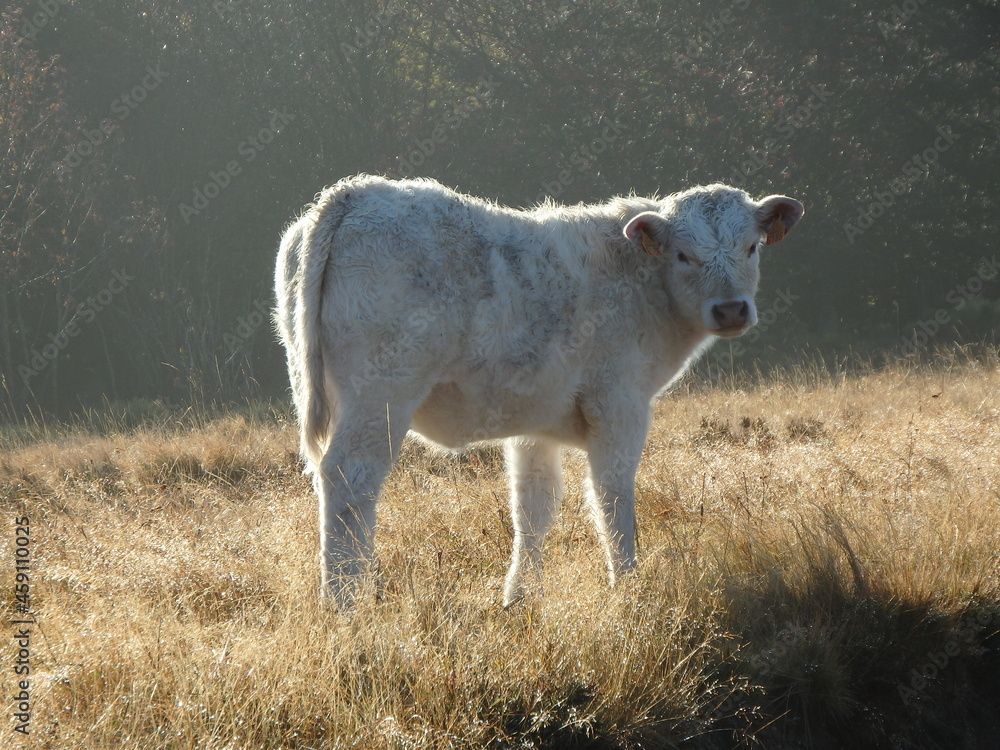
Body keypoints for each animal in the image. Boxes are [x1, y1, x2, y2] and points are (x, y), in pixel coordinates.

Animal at [274, 174, 804, 606]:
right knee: (350, 482)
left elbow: (533, 507)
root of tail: (353, 193)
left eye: (752, 247)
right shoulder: (619, 404)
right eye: (683, 255)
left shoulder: (534, 422)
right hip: (381, 395)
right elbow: (612, 498)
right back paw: (345, 599)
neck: (636, 282)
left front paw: (521, 596)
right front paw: (629, 586)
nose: (731, 309)